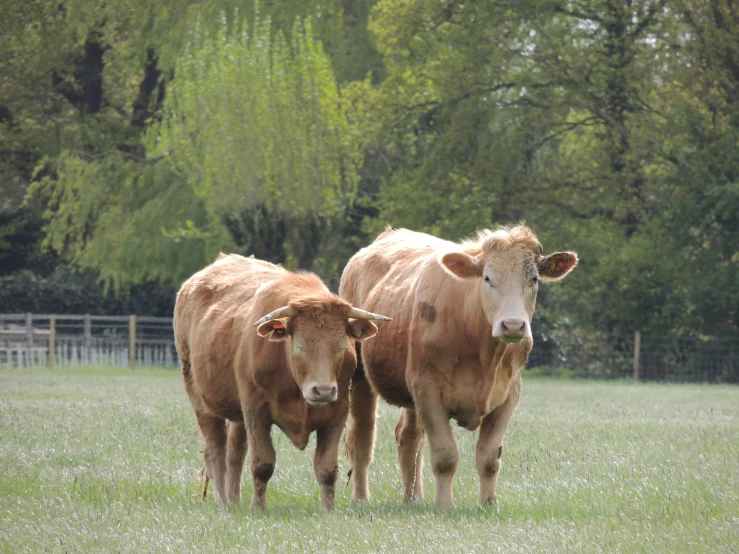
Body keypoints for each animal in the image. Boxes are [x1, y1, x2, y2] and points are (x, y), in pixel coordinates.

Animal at [174, 252, 394, 506]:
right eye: (300, 346)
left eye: (341, 347)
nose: (323, 390)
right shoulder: (255, 412)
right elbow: (262, 465)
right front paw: (258, 507)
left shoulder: (337, 413)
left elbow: (327, 469)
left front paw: (328, 508)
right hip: (200, 399)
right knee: (216, 450)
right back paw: (222, 500)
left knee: (235, 452)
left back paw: (233, 500)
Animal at [342, 223, 580, 504]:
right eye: (487, 278)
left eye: (533, 279)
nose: (513, 325)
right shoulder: (427, 389)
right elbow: (445, 456)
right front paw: (445, 504)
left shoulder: (509, 393)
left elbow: (490, 457)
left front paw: (488, 504)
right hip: (360, 375)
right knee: (362, 438)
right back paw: (361, 498)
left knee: (409, 437)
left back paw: (414, 499)